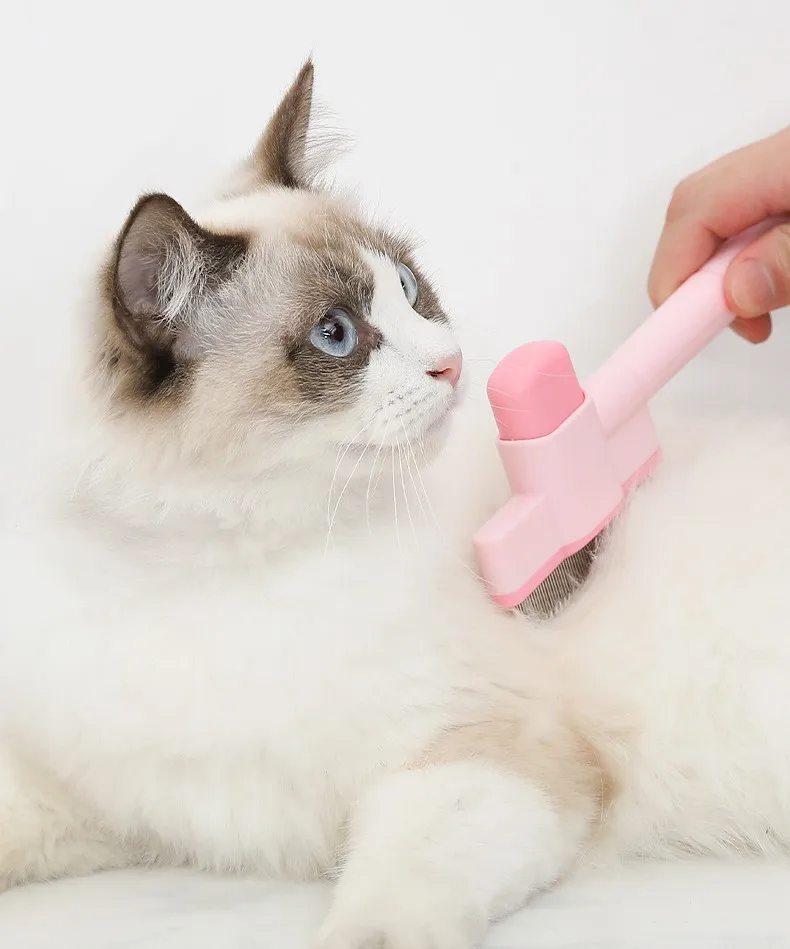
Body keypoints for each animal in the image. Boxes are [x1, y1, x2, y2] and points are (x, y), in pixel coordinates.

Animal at [3, 59, 790, 949]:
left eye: (410, 289)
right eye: (337, 334)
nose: (453, 363)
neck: (217, 568)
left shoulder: (478, 752)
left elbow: (389, 899)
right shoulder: (97, 798)